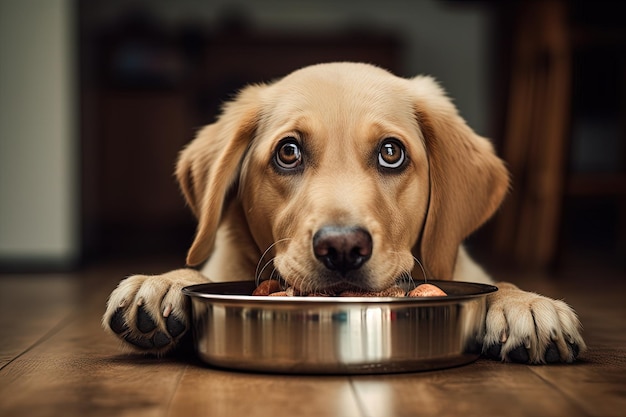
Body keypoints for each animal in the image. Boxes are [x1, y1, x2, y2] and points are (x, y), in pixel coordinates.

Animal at [100, 62, 584, 364]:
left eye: (391, 152)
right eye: (288, 152)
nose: (342, 248)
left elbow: (498, 283)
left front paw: (522, 303)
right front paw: (168, 282)